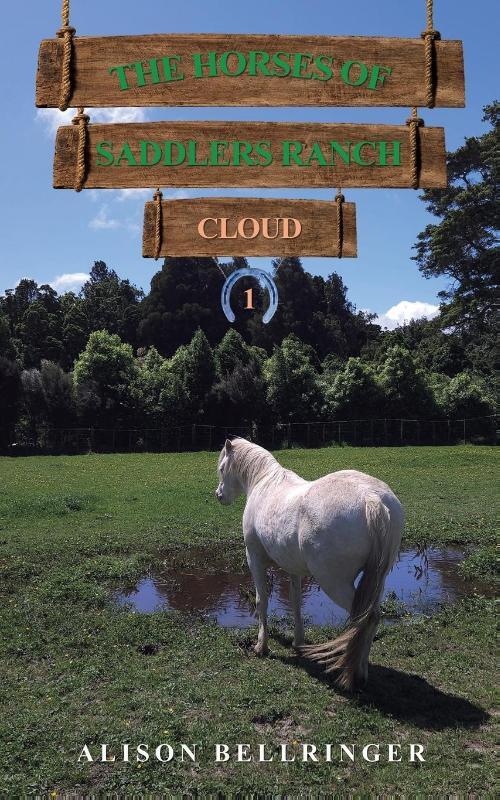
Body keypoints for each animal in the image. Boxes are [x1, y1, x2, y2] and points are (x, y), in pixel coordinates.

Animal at [215, 437, 404, 691]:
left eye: (222, 468)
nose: (219, 495)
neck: (264, 483)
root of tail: (371, 499)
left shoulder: (254, 558)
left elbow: (261, 600)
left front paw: (261, 646)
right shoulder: (293, 568)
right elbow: (295, 603)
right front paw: (298, 641)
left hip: (334, 583)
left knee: (365, 619)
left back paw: (352, 675)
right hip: (376, 581)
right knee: (372, 619)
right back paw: (361, 672)